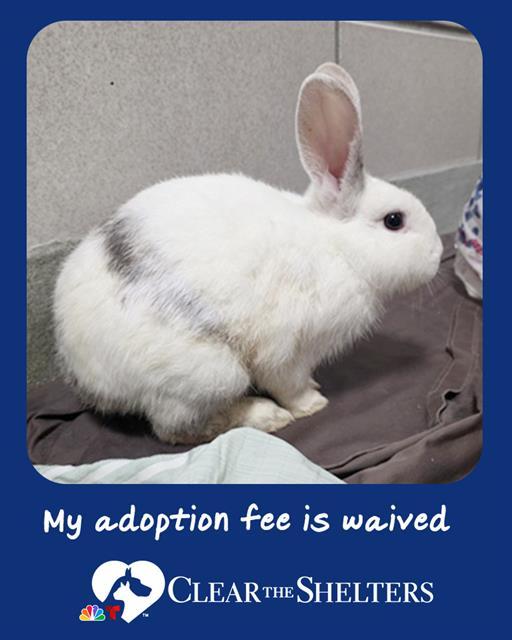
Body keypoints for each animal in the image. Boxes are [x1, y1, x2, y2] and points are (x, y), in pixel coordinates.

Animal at [53, 62, 443, 445]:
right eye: (394, 220)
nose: (439, 254)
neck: (336, 246)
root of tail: (84, 376)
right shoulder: (288, 349)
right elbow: (289, 384)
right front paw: (313, 403)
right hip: (210, 373)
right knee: (176, 429)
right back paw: (266, 415)